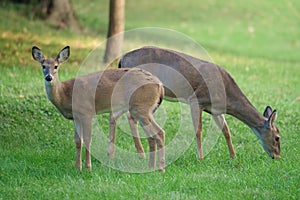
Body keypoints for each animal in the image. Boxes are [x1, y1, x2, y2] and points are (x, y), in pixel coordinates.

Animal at [31, 46, 165, 171]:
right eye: (43, 66)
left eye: (56, 66)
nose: (49, 77)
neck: (65, 93)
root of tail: (160, 85)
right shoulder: (76, 117)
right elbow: (78, 141)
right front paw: (77, 167)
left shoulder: (87, 112)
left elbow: (88, 140)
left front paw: (88, 167)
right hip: (142, 109)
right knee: (151, 136)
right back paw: (151, 167)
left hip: (141, 107)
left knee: (159, 132)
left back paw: (160, 168)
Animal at [118, 46, 282, 160]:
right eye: (277, 137)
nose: (278, 157)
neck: (227, 95)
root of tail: (123, 58)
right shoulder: (196, 99)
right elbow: (198, 130)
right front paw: (201, 158)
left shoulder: (216, 109)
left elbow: (226, 131)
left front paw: (233, 156)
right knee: (132, 118)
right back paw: (142, 154)